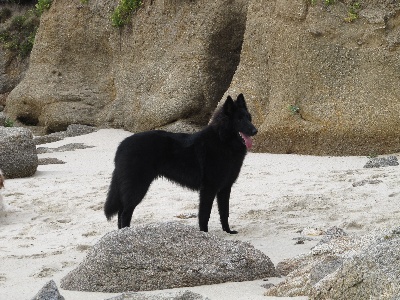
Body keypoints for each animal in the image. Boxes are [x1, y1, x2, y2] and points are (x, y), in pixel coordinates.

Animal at [104, 94, 258, 234]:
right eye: (239, 119)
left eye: (248, 117)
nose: (255, 131)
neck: (222, 141)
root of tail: (122, 145)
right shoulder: (208, 189)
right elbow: (204, 214)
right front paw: (204, 234)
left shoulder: (225, 188)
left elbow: (224, 213)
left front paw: (228, 231)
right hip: (137, 187)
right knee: (125, 212)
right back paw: (125, 233)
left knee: (121, 212)